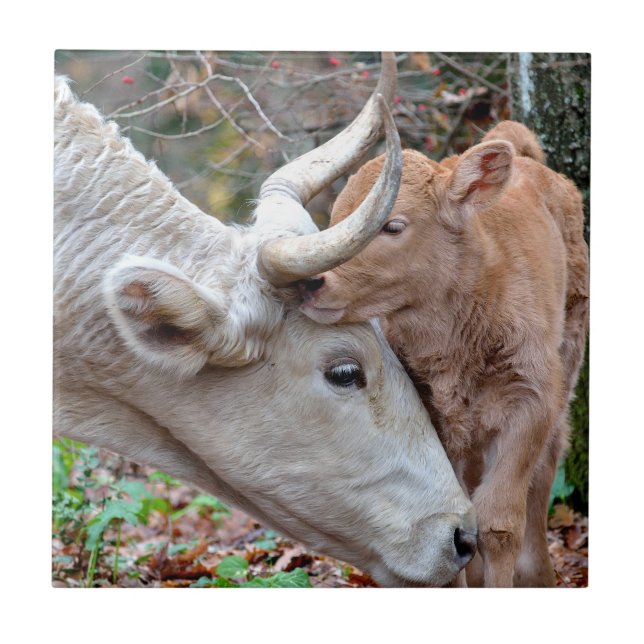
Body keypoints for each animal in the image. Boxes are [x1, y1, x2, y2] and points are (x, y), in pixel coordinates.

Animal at [299, 120, 589, 587]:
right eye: (336, 218)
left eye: (393, 225)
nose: (311, 281)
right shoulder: (431, 414)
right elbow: (452, 525)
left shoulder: (531, 401)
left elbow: (499, 523)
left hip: (568, 359)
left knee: (547, 463)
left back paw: (539, 574)